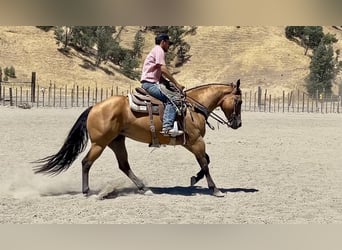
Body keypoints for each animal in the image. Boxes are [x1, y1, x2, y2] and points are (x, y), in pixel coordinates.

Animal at [31, 79, 240, 196]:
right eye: (239, 101)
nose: (238, 124)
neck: (192, 108)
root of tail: (94, 107)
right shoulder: (196, 142)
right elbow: (205, 163)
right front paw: (215, 189)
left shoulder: (191, 143)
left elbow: (206, 161)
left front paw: (194, 179)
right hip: (100, 143)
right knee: (86, 162)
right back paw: (87, 191)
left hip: (116, 142)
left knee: (124, 165)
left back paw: (143, 188)